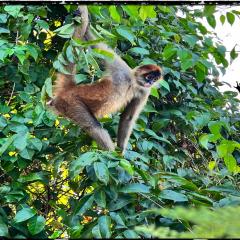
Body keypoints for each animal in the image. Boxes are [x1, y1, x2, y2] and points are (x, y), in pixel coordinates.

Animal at [47, 5, 163, 153]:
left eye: (155, 80)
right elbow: (100, 47)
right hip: (71, 103)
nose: (150, 82)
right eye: (149, 76)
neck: (132, 83)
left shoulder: (144, 92)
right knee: (94, 126)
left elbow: (128, 118)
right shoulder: (122, 69)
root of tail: (70, 89)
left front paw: (121, 151)